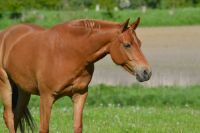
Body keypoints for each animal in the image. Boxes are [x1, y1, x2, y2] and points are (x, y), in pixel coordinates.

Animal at [0, 17, 151, 132]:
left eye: (140, 43)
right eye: (127, 45)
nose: (146, 72)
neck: (69, 53)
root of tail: (6, 33)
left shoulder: (80, 94)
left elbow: (78, 126)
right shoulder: (46, 97)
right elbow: (44, 128)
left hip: (24, 91)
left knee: (16, 117)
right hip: (6, 85)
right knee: (9, 117)